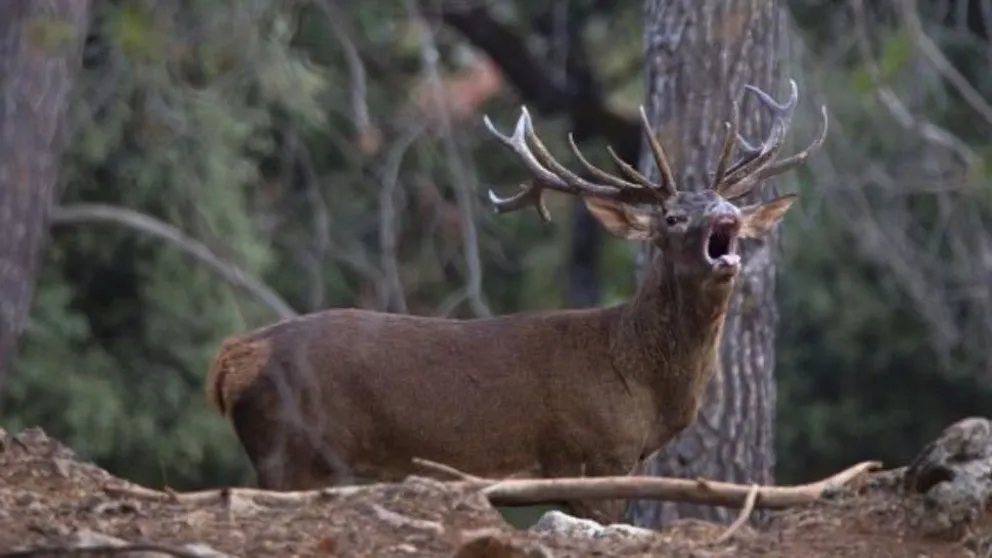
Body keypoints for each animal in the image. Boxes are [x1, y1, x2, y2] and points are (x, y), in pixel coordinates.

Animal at [205, 79, 828, 525]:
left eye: (727, 202)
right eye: (672, 217)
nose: (724, 214)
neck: (643, 386)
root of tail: (234, 355)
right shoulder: (592, 457)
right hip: (288, 450)